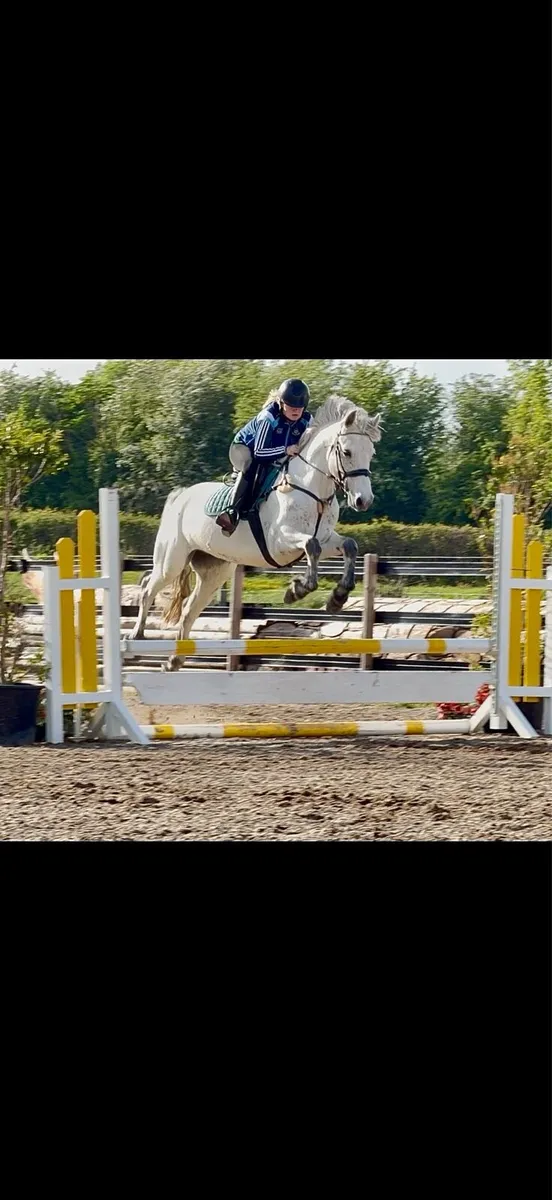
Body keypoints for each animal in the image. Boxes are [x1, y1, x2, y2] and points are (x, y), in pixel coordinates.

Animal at [131, 396, 382, 671]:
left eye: (371, 453)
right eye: (347, 452)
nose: (363, 501)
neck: (311, 489)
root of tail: (180, 496)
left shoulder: (327, 539)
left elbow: (348, 545)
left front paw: (338, 597)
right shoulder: (279, 542)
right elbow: (311, 546)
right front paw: (298, 590)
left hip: (214, 571)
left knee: (188, 608)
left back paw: (174, 660)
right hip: (172, 562)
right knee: (147, 587)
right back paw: (136, 638)